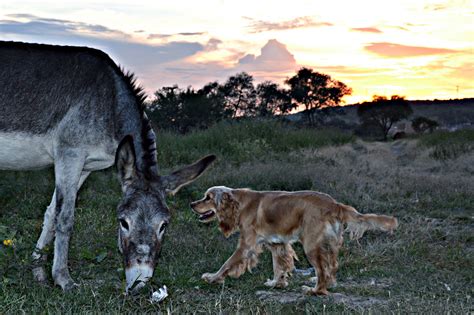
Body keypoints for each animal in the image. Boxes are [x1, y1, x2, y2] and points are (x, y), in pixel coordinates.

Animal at [191, 186, 398, 296]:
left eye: (208, 198)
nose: (191, 204)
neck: (239, 204)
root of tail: (334, 204)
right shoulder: (278, 244)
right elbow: (279, 267)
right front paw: (276, 283)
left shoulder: (246, 245)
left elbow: (227, 264)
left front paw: (213, 278)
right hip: (327, 244)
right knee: (331, 267)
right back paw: (324, 283)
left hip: (311, 245)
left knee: (322, 270)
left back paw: (315, 290)